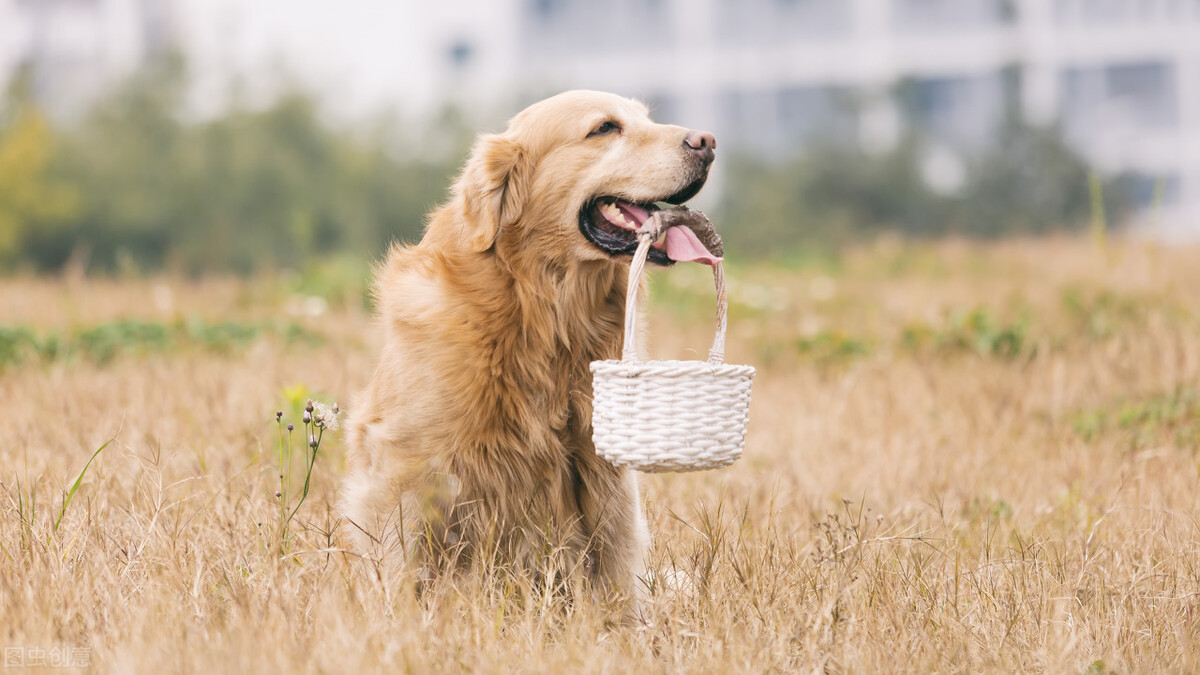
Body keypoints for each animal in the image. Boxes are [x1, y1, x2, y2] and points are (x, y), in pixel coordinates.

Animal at [345, 89, 720, 598]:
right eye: (605, 128)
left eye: (647, 117)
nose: (708, 142)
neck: (541, 314)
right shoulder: (404, 467)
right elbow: (401, 564)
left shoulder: (605, 475)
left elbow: (616, 575)